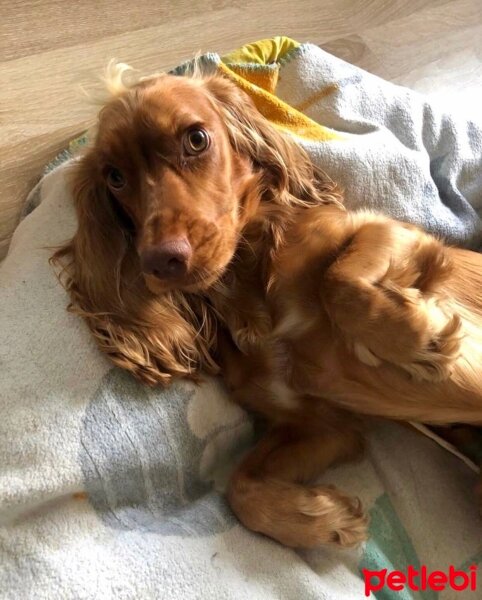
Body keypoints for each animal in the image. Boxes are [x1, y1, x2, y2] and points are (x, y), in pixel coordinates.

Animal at [52, 68, 482, 552]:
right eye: (114, 177)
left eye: (196, 139)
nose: (160, 261)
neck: (249, 288)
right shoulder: (319, 424)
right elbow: (241, 490)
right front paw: (321, 518)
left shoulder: (399, 234)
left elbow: (338, 279)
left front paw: (417, 340)